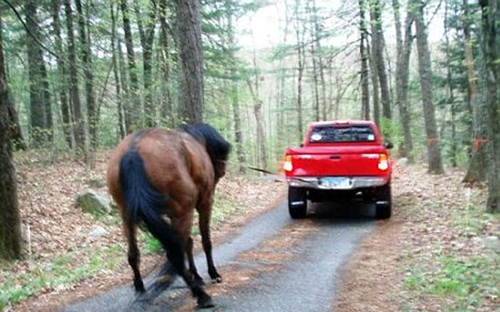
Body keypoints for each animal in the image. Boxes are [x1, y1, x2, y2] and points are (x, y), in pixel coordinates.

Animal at [106, 123, 231, 308]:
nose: (222, 171)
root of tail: (133, 150)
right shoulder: (204, 204)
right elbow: (205, 241)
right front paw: (212, 274)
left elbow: (188, 243)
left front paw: (197, 275)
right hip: (183, 212)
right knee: (175, 255)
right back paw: (201, 296)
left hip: (126, 215)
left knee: (133, 254)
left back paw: (140, 288)